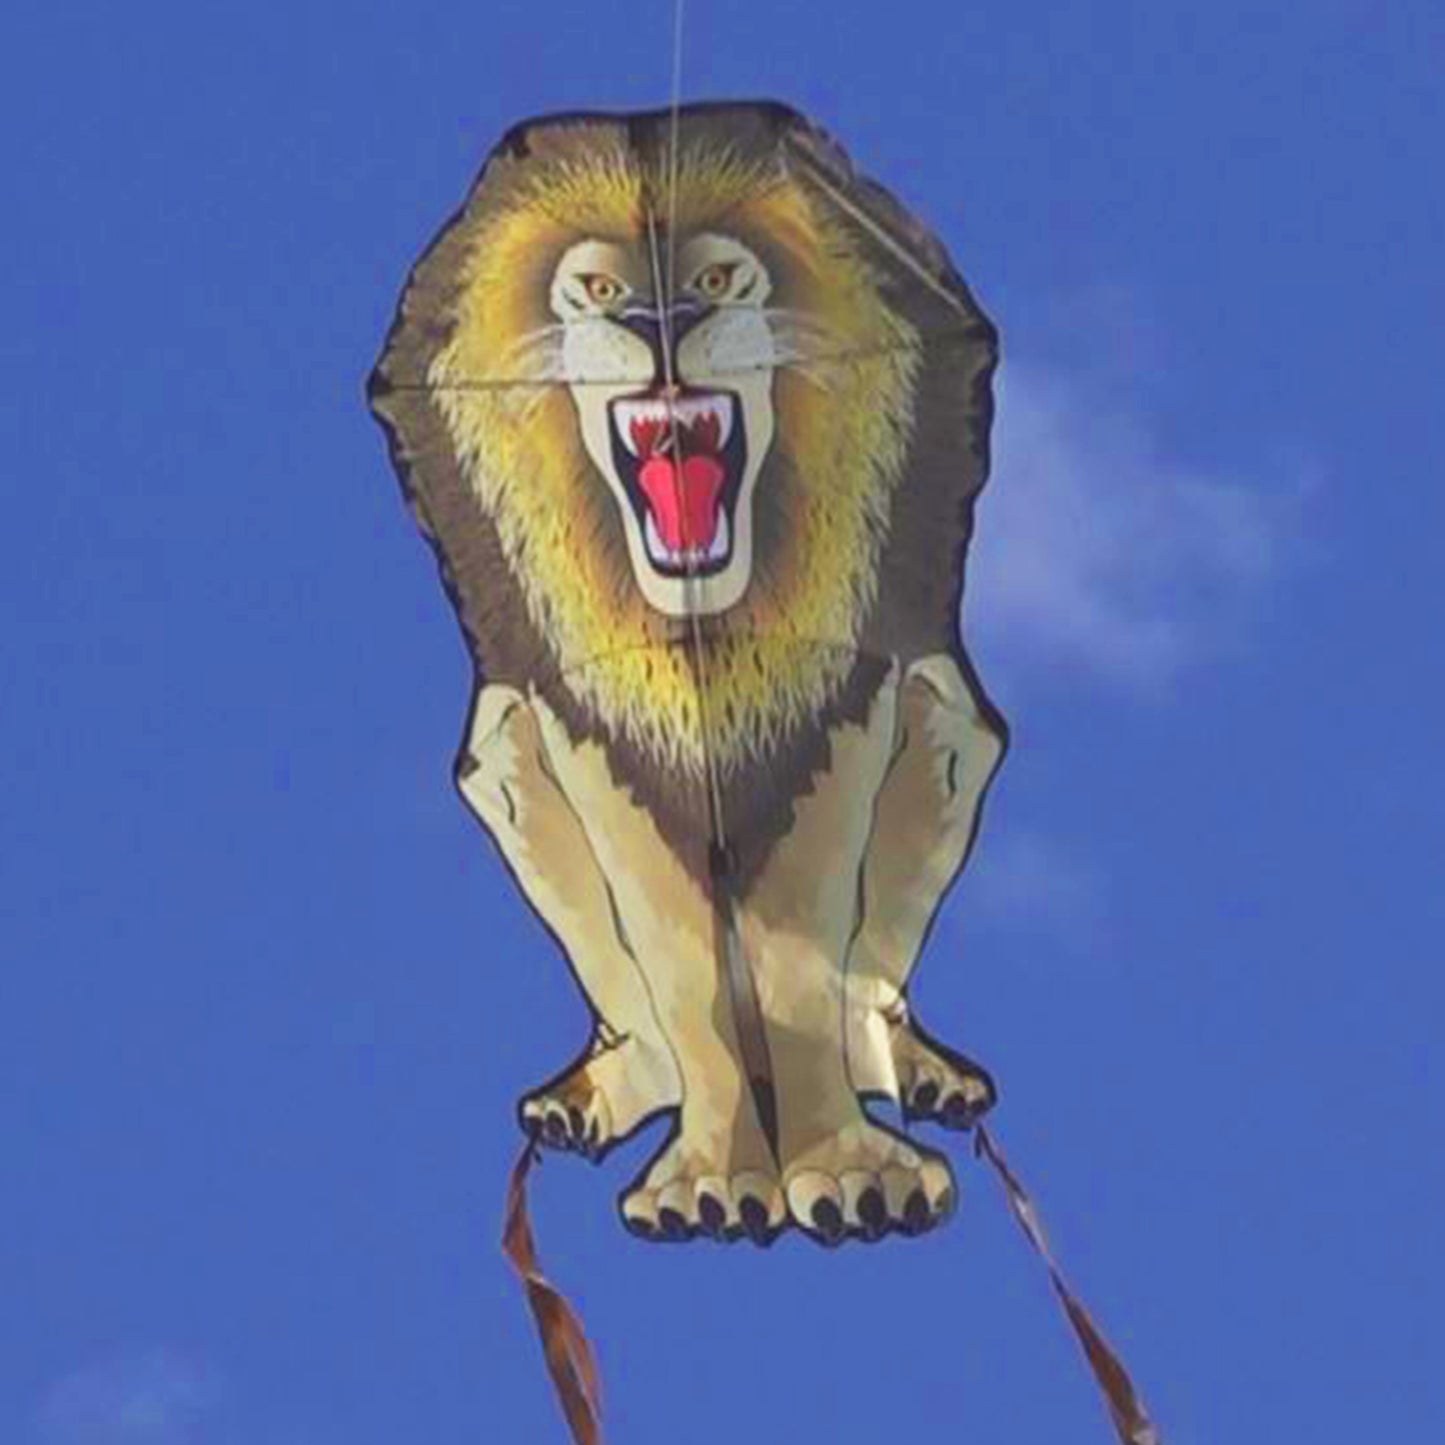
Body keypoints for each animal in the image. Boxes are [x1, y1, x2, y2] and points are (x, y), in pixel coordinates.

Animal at [368, 101, 1007, 1246]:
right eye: (596, 290)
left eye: (713, 277)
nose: (657, 321)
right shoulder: (585, 715)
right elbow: (684, 970)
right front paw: (715, 1176)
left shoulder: (846, 690)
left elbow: (801, 970)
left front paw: (847, 1170)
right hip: (498, 745)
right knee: (647, 1028)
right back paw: (591, 1094)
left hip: (952, 715)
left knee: (868, 990)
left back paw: (918, 1067)